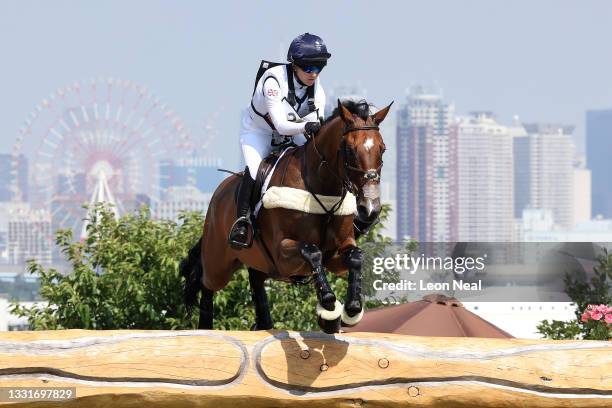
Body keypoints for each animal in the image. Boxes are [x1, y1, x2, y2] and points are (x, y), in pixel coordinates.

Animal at [182, 99, 392, 334]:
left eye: (382, 149)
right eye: (349, 149)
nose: (369, 209)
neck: (322, 188)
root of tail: (218, 195)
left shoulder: (336, 253)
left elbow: (355, 256)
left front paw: (352, 309)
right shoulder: (282, 253)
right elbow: (312, 251)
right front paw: (328, 304)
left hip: (258, 261)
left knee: (255, 280)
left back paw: (263, 324)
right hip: (219, 261)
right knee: (206, 283)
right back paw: (204, 329)